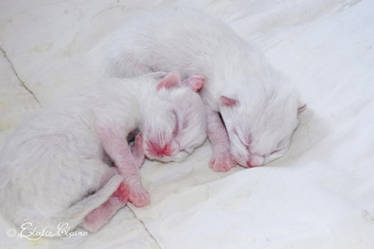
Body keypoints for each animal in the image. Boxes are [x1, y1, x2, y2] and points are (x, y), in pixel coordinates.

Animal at [0, 71, 205, 233]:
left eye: (184, 151)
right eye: (176, 121)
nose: (167, 150)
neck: (134, 90)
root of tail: (20, 213)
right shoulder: (110, 123)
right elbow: (126, 161)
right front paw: (138, 190)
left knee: (90, 221)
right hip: (80, 167)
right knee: (112, 174)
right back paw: (125, 187)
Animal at [88, 7, 306, 171]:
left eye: (275, 150)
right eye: (244, 139)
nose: (252, 164)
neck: (248, 68)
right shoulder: (209, 95)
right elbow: (216, 130)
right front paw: (223, 157)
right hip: (132, 66)